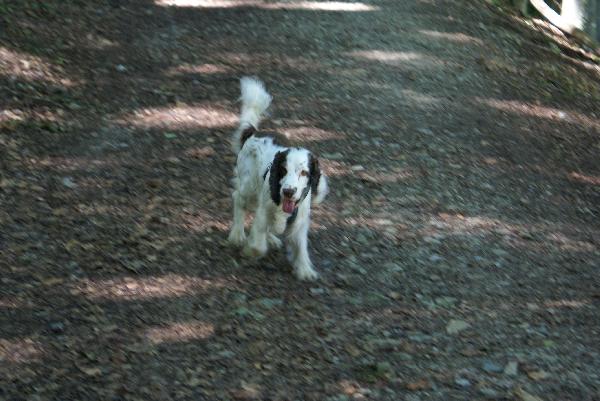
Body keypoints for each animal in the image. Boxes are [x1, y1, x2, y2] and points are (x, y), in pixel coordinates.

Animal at [227, 77, 329, 280]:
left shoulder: (300, 220)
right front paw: (250, 249)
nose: (288, 191)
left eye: (304, 173)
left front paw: (305, 269)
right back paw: (237, 234)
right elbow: (258, 244)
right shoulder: (263, 211)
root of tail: (253, 133)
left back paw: (272, 238)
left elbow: (301, 246)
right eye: (283, 170)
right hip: (249, 186)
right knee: (238, 199)